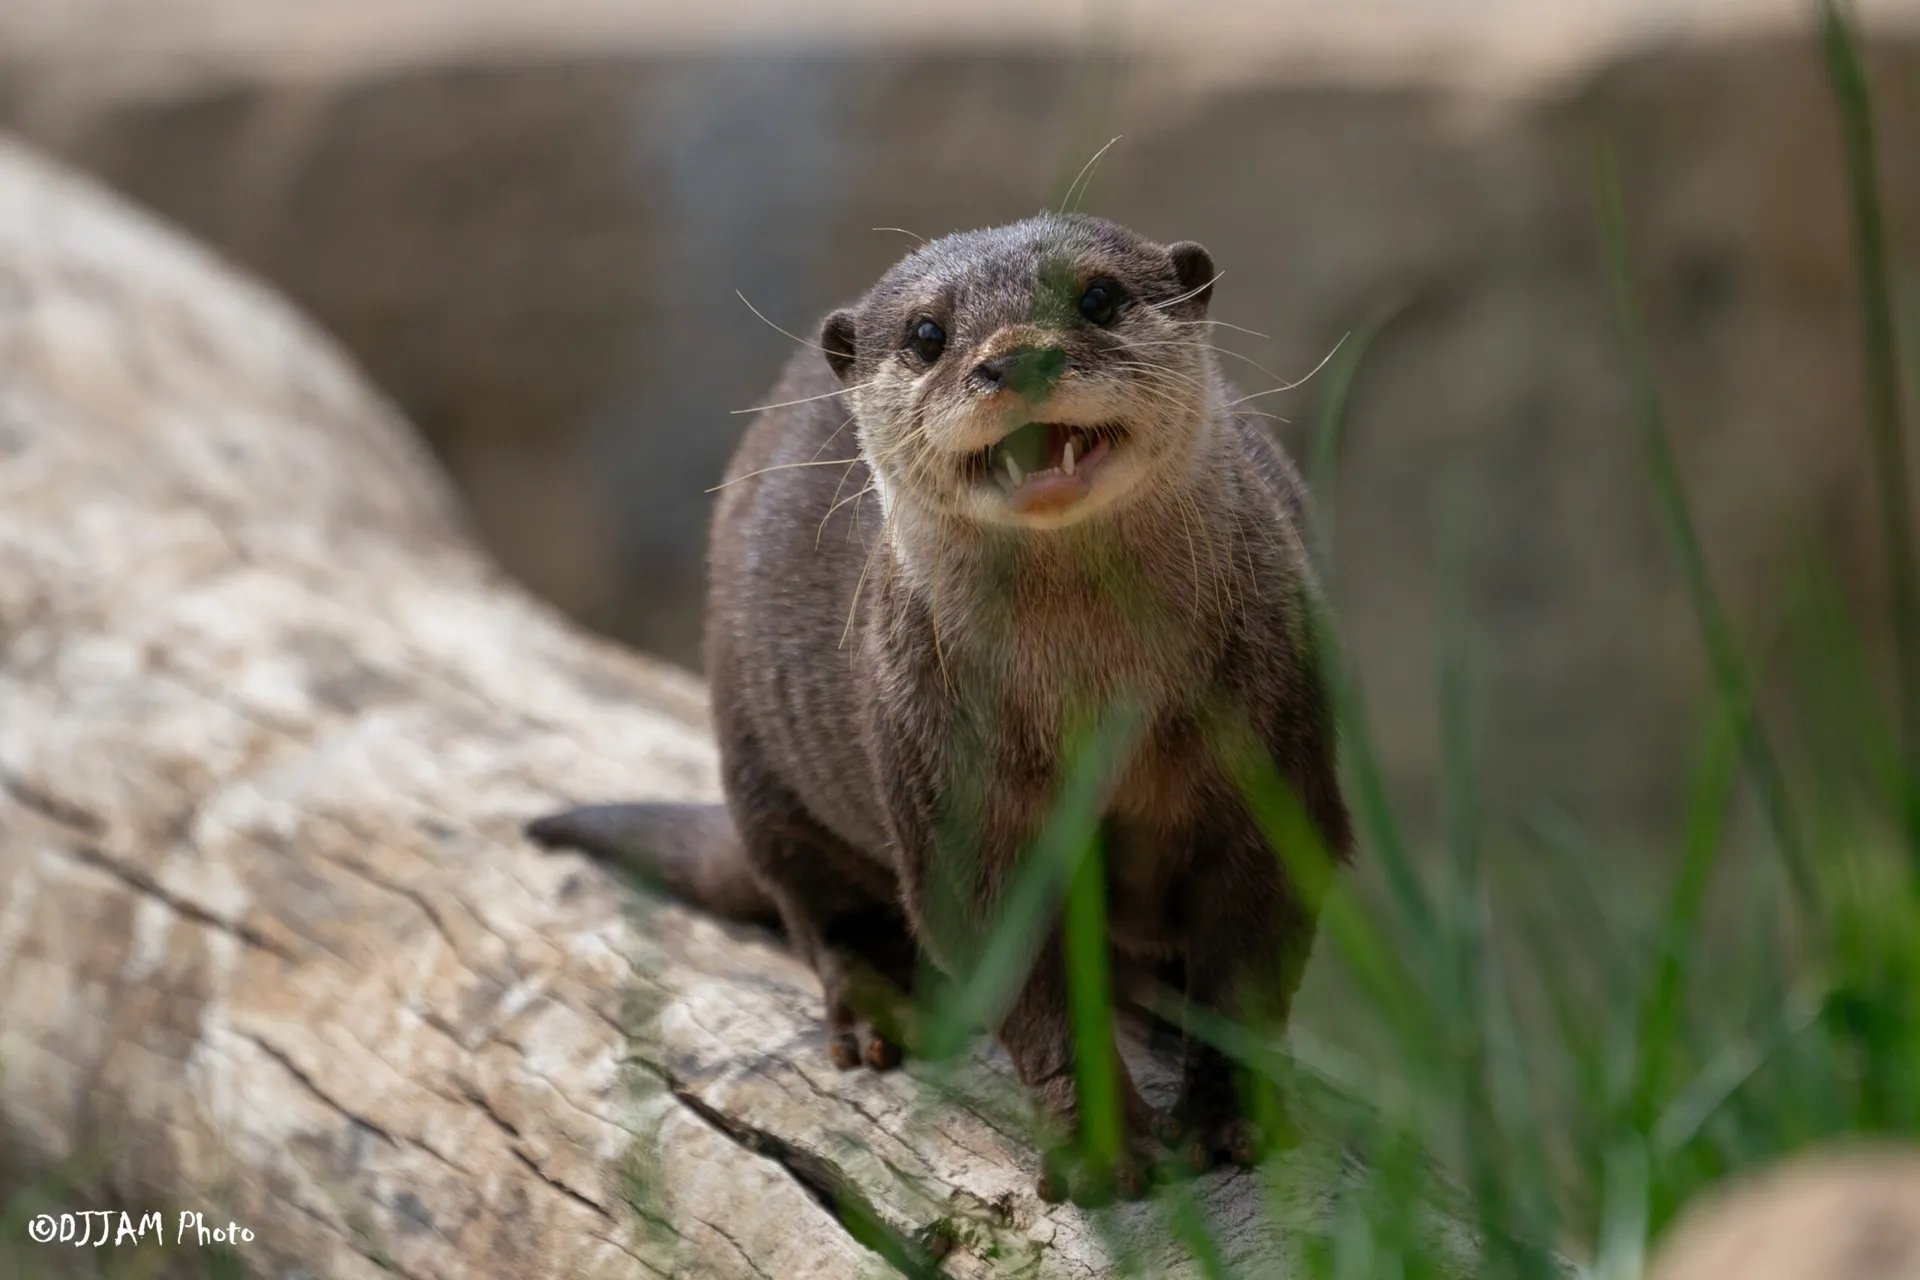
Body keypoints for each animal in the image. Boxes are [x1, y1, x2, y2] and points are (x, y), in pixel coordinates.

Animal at [528, 212, 1353, 1205]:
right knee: (816, 902)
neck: (1099, 703)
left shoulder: (1275, 758)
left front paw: (1231, 1117)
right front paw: (1103, 1147)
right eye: (928, 335)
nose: (1015, 359)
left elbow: (1247, 966)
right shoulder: (946, 784)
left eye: (1099, 296)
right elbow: (1019, 974)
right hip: (757, 755)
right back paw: (874, 1020)